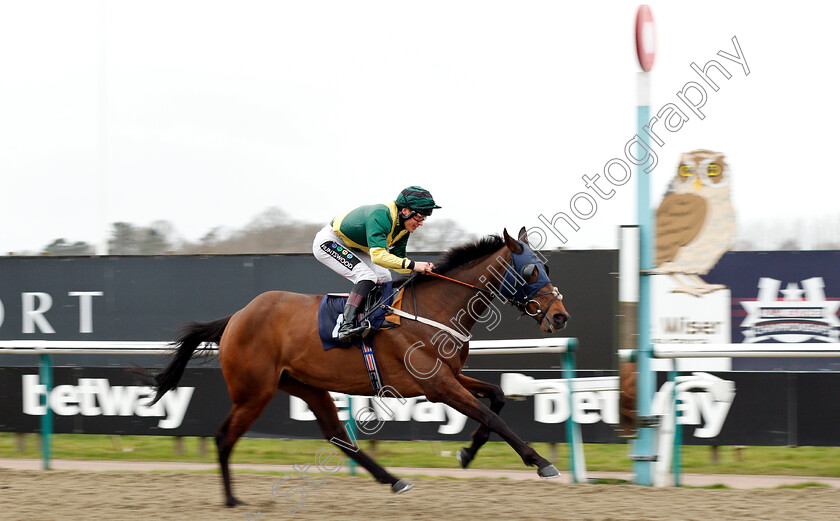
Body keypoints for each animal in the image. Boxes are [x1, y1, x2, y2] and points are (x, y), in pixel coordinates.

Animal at [151, 226, 572, 504]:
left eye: (548, 266)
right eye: (532, 270)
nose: (560, 317)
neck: (437, 308)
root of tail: (236, 317)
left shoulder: (449, 376)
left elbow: (497, 397)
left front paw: (468, 453)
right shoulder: (436, 385)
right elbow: (493, 416)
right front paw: (541, 462)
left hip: (305, 385)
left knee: (337, 435)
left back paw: (393, 479)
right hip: (254, 392)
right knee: (225, 437)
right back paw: (231, 500)